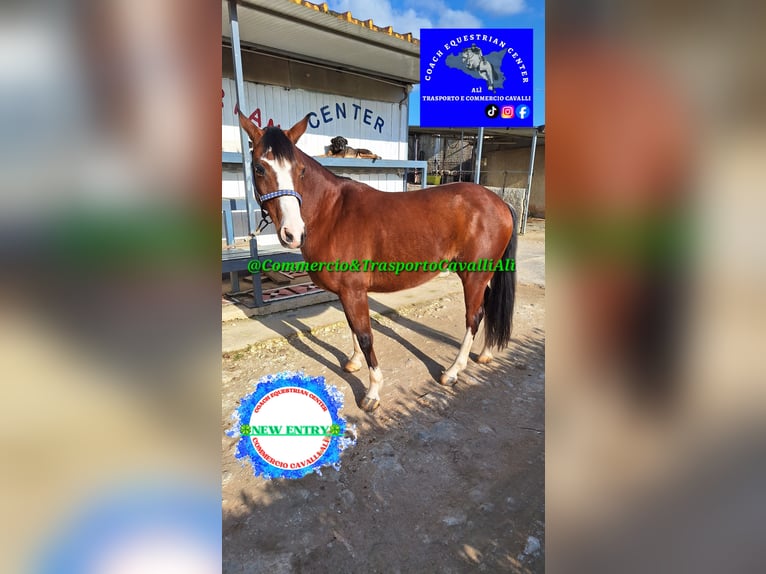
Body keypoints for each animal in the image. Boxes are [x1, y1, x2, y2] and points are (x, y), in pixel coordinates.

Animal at [238, 113, 517, 412]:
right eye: (259, 168)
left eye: (300, 170)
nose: (293, 233)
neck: (332, 214)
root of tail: (499, 201)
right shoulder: (346, 292)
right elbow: (352, 326)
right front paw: (353, 362)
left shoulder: (354, 291)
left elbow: (365, 335)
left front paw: (372, 392)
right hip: (483, 275)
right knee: (488, 306)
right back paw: (486, 353)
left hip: (474, 275)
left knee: (473, 316)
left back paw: (453, 371)